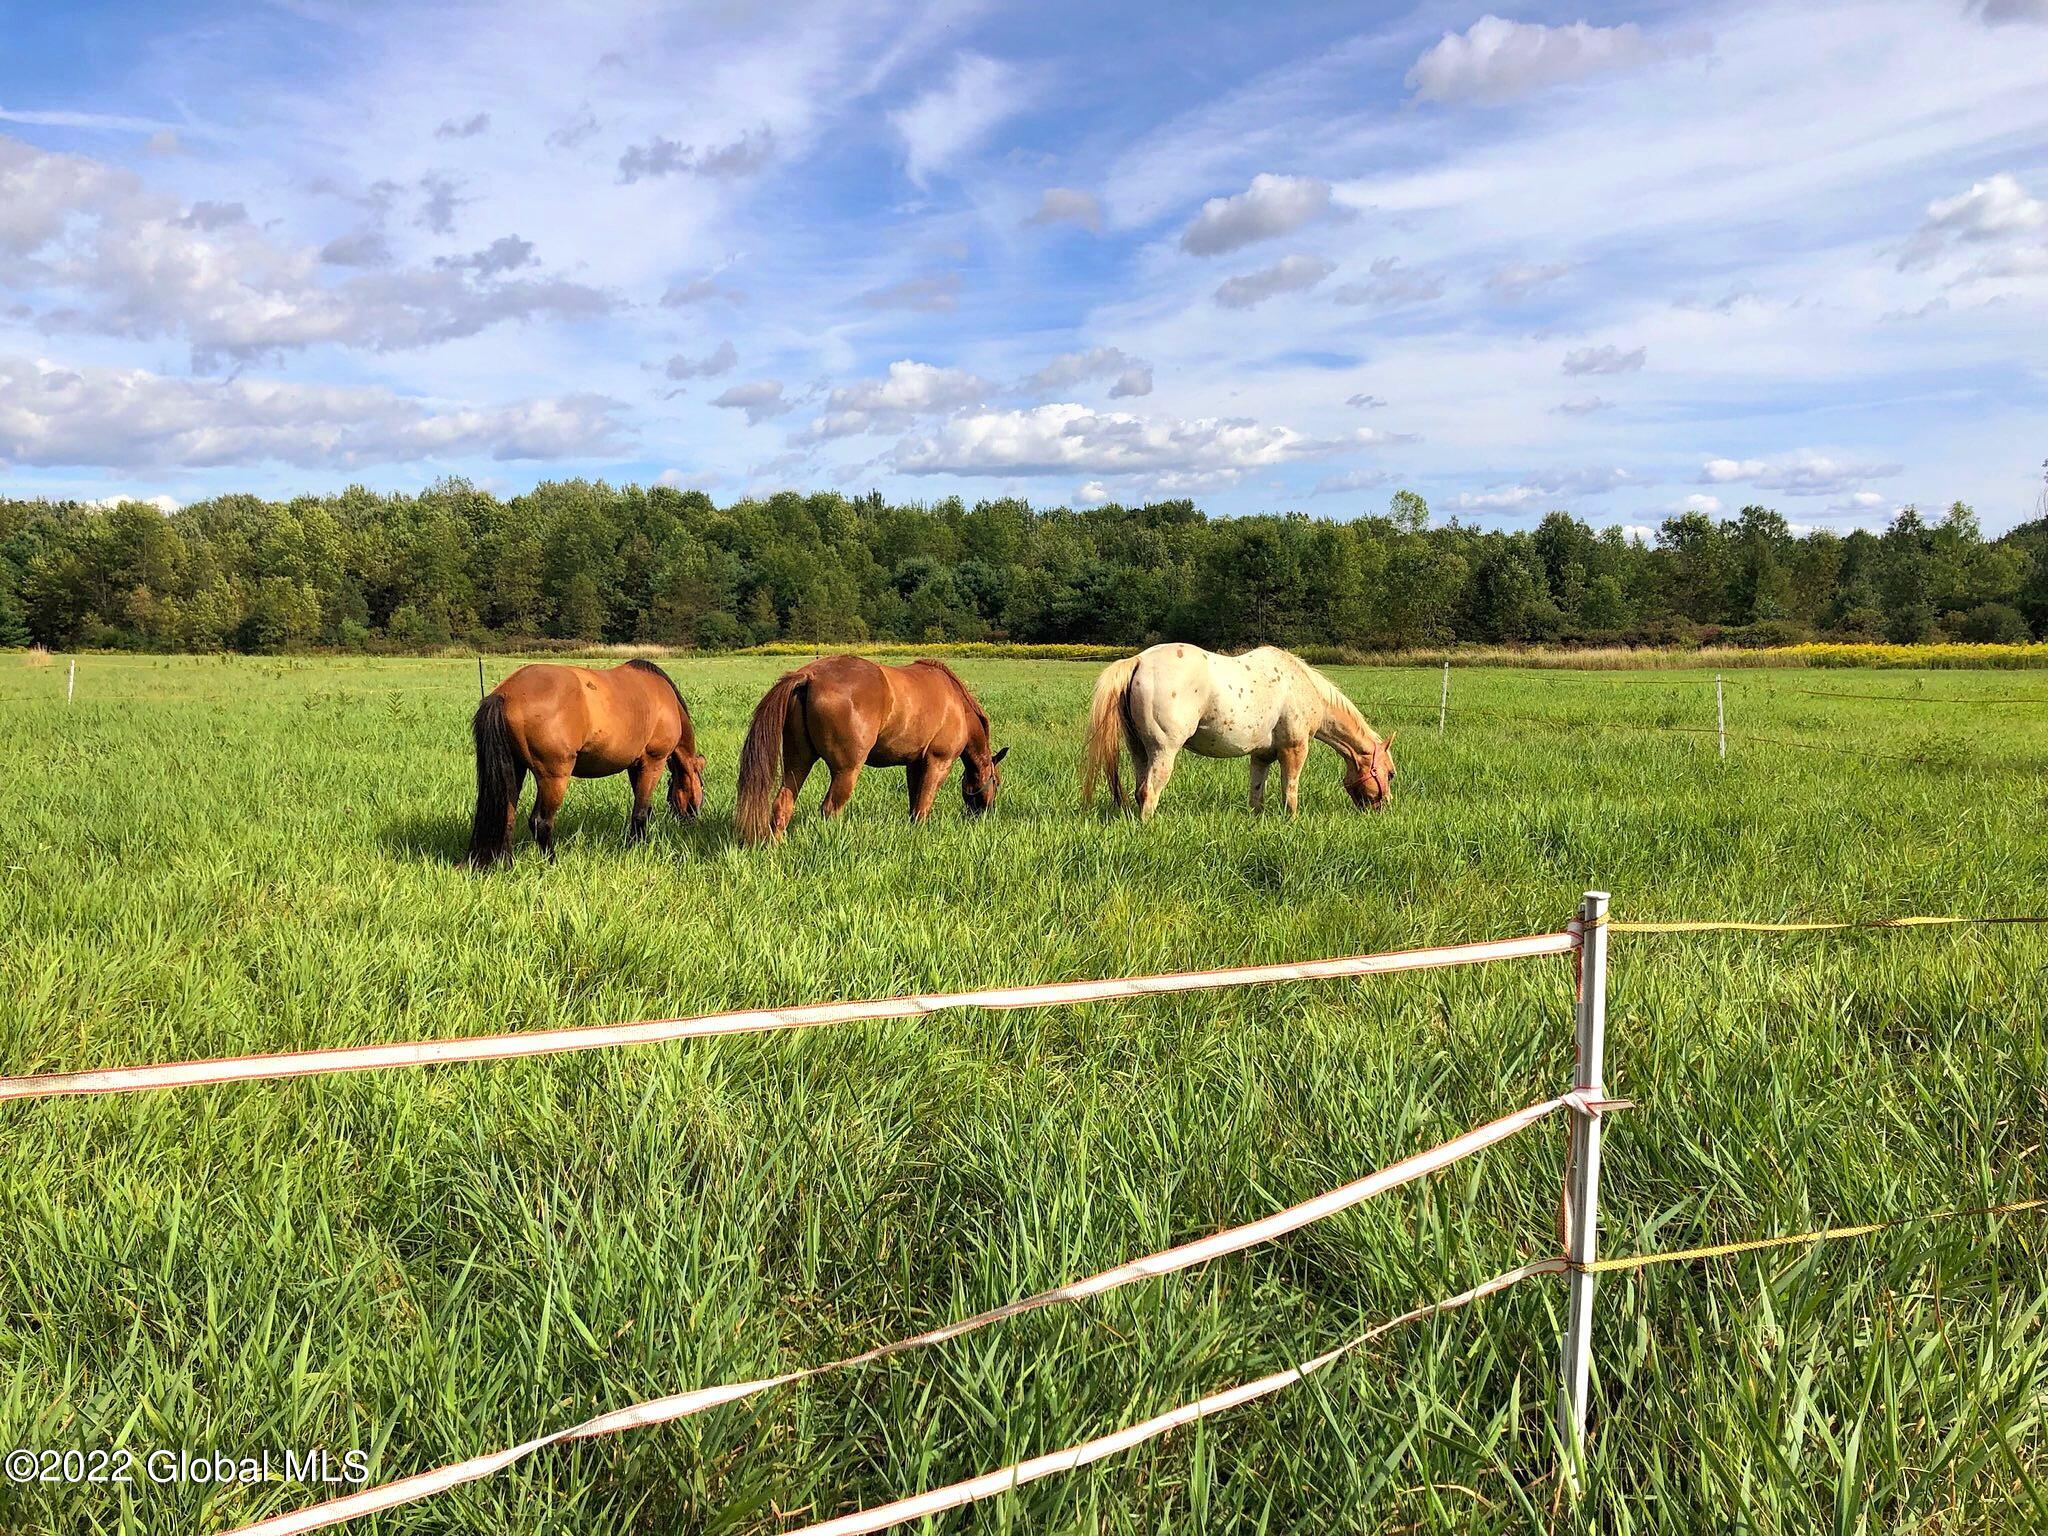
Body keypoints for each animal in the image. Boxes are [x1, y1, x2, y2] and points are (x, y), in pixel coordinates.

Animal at [468, 659, 708, 872]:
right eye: (701, 787)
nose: (692, 820)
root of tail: (505, 693)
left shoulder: (635, 766)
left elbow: (643, 809)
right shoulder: (652, 763)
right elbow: (640, 813)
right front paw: (635, 848)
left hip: (515, 770)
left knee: (507, 818)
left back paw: (507, 866)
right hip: (553, 776)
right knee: (541, 822)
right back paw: (552, 864)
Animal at [737, 659, 1007, 847]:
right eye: (997, 781)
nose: (983, 814)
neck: (956, 704)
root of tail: (810, 676)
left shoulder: (913, 764)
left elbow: (914, 802)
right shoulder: (939, 762)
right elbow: (923, 805)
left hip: (798, 762)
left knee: (783, 804)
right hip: (846, 771)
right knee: (829, 809)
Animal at [1081, 647, 1400, 823]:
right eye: (1390, 774)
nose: (1383, 809)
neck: (1302, 686)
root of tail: (1138, 661)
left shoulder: (1261, 756)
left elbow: (1256, 795)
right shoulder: (1294, 749)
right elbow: (1290, 791)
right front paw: (1292, 822)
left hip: (1139, 751)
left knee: (1139, 790)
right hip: (1163, 751)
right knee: (1150, 791)